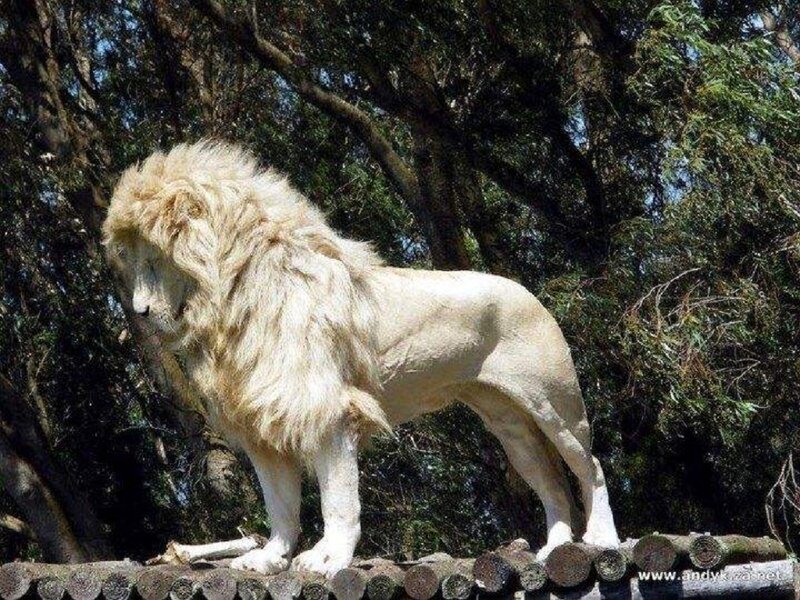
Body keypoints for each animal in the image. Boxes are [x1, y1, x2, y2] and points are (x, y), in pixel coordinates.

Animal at [103, 140, 619, 577]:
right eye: (132, 261)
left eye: (153, 259)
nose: (140, 312)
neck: (231, 306)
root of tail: (529, 293)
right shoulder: (264, 419)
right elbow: (280, 504)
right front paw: (270, 559)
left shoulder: (328, 409)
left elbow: (338, 500)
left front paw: (328, 559)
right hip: (508, 422)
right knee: (551, 482)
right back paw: (555, 548)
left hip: (555, 406)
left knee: (589, 468)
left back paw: (602, 541)